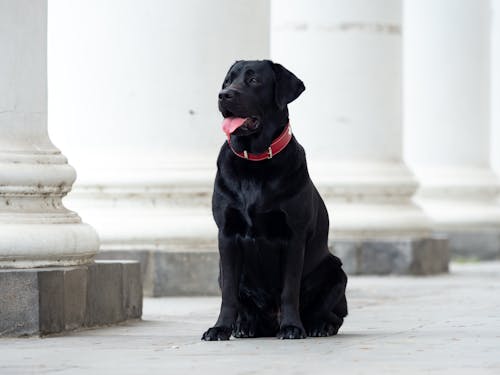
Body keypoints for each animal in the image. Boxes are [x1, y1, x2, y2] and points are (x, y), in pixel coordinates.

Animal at [200, 59, 348, 340]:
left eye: (253, 80)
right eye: (228, 81)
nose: (223, 95)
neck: (255, 162)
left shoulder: (294, 236)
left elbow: (289, 290)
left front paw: (292, 327)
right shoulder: (226, 234)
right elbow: (229, 295)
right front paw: (220, 327)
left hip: (336, 270)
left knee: (333, 314)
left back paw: (318, 326)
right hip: (221, 271)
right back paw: (244, 326)